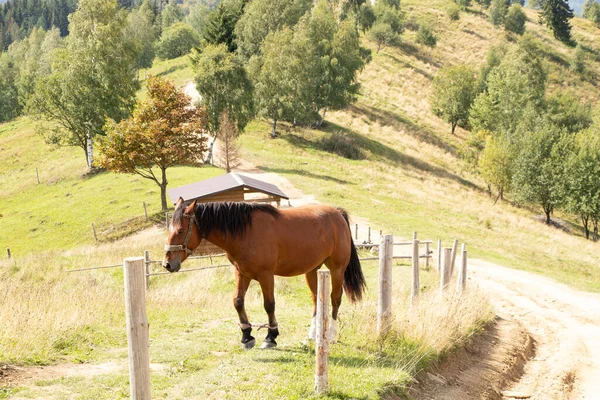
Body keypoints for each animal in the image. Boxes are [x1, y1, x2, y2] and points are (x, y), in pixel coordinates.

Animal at [162, 198, 366, 348]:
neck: (245, 232)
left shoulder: (265, 275)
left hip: (337, 269)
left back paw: (330, 334)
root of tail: (337, 214)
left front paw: (271, 336)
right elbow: (238, 301)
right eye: (169, 230)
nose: (167, 264)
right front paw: (246, 336)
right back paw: (312, 335)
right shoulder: (242, 273)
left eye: (180, 230)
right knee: (317, 299)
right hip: (312, 271)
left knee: (335, 299)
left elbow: (269, 305)